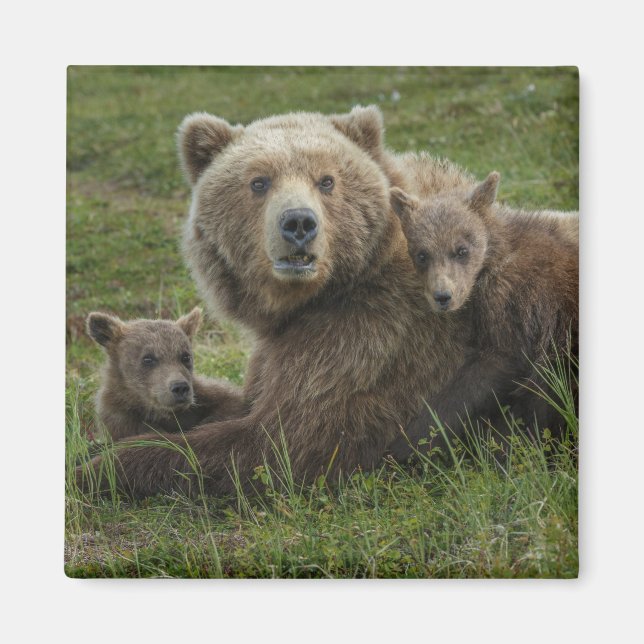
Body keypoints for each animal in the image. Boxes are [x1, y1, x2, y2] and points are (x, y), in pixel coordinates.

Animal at [386, 171, 579, 460]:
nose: (443, 296)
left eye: (461, 249)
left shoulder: (523, 308)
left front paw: (403, 446)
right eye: (422, 254)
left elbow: (486, 375)